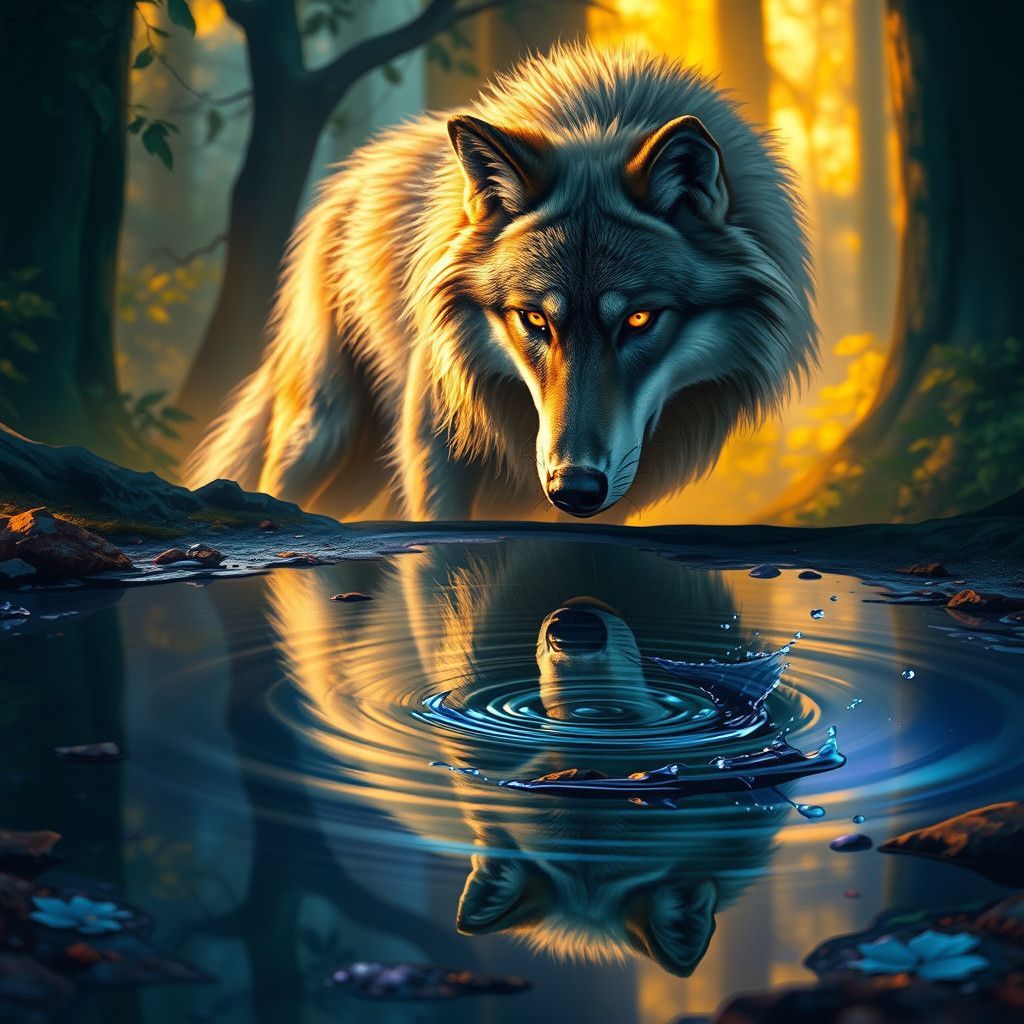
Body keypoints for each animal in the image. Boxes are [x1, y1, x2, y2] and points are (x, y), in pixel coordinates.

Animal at [185, 45, 816, 520]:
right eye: (534, 318)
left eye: (639, 319)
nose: (573, 488)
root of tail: (352, 173)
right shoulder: (435, 457)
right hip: (323, 436)